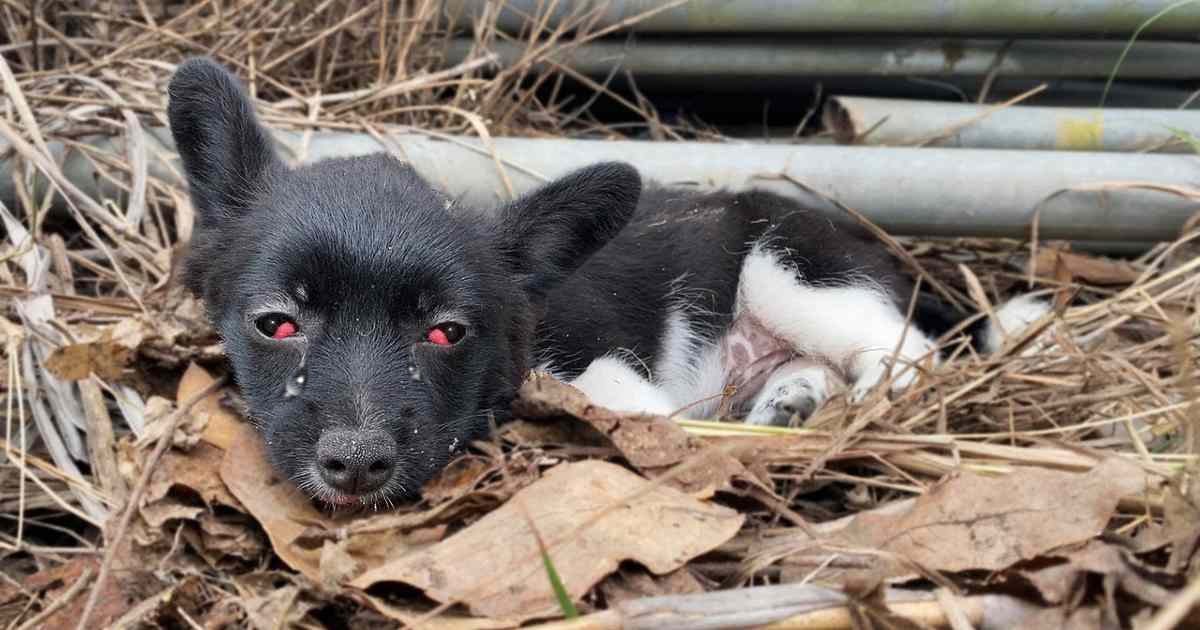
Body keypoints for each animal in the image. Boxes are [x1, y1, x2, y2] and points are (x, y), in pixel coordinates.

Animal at [164, 57, 1046, 511]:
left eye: (448, 331)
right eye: (275, 323)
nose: (354, 464)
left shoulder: (602, 365)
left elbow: (630, 402)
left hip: (791, 267)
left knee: (910, 351)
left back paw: (857, 408)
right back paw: (791, 402)